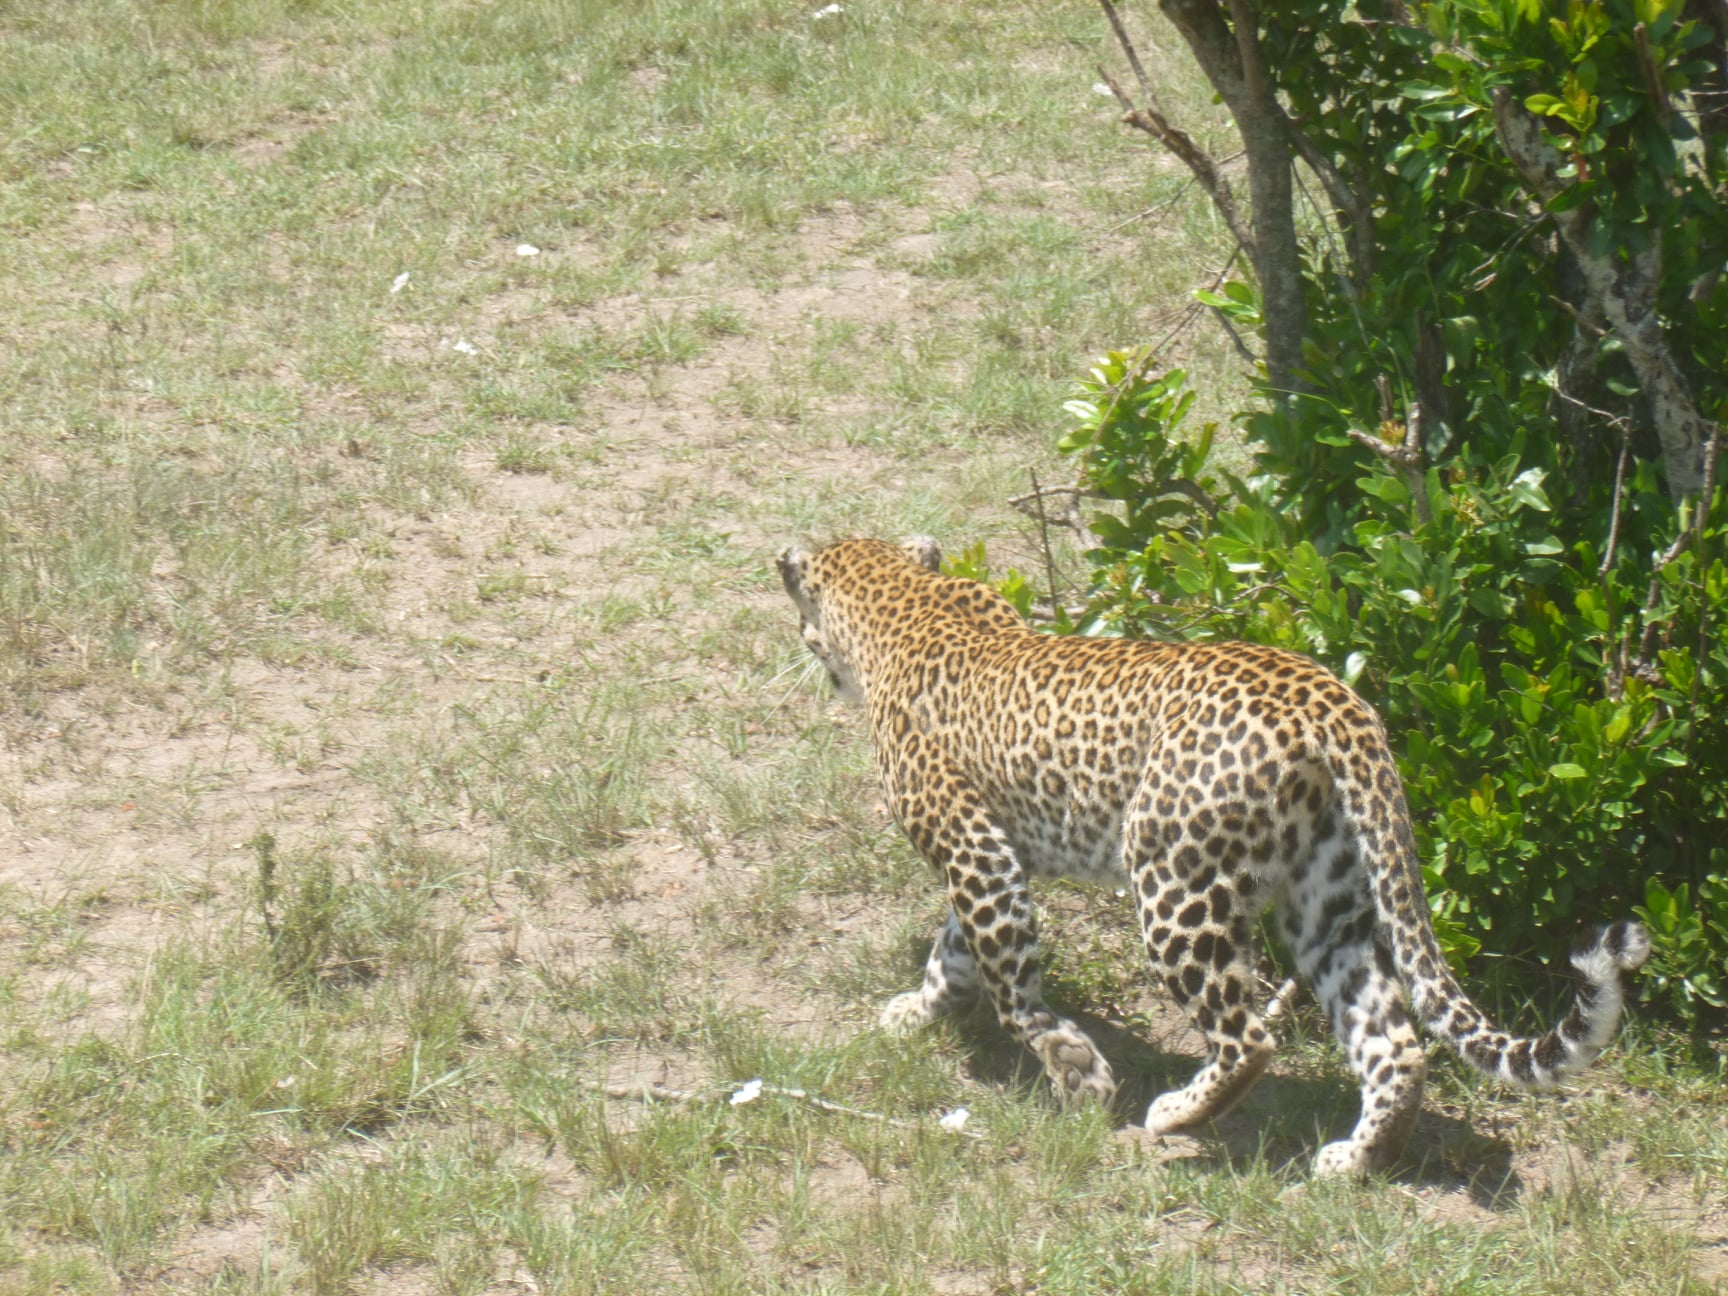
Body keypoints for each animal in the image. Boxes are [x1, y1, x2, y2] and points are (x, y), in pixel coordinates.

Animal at [781, 535, 1645, 1175]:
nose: (801, 643)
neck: (903, 600)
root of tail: (1339, 703)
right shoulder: (993, 854)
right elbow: (956, 950)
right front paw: (918, 1009)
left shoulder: (974, 850)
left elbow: (1008, 980)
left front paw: (1076, 1070)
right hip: (1326, 899)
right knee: (1392, 1042)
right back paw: (1356, 1161)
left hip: (1174, 879)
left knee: (1249, 1035)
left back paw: (1175, 1115)